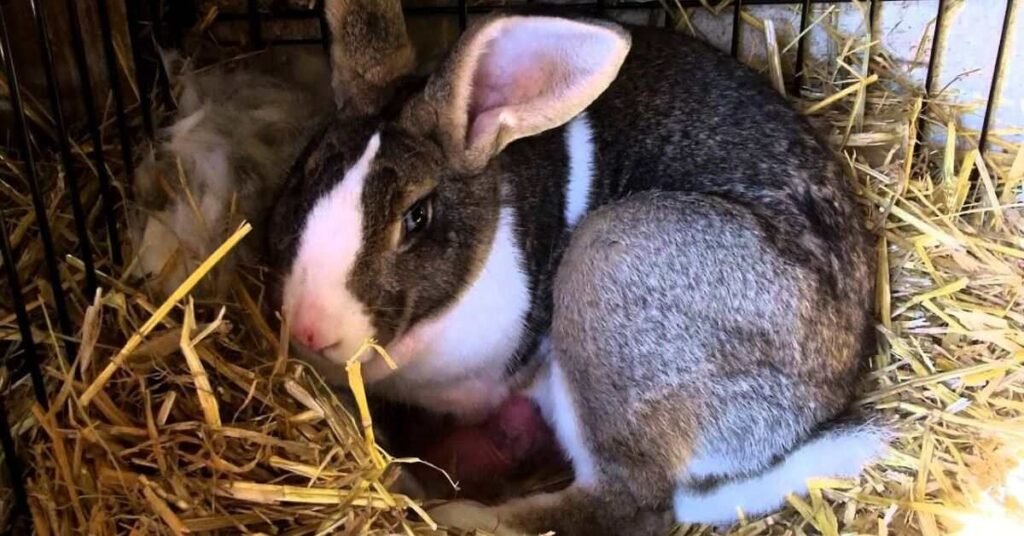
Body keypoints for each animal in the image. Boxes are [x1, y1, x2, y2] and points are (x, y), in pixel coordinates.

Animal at [267, 1, 889, 534]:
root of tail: (822, 397)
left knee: (627, 504)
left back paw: (463, 517)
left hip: (608, 266)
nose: (310, 329)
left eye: (416, 216)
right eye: (305, 172)